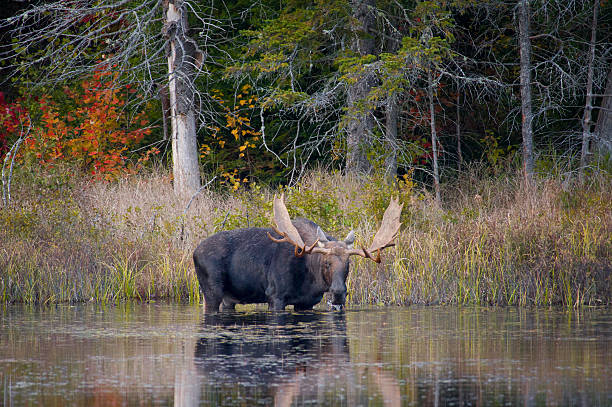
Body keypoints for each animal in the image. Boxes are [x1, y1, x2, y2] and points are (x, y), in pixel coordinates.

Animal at [191, 195, 402, 312]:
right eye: (326, 262)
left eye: (348, 264)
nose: (338, 292)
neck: (311, 281)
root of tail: (194, 252)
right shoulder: (274, 296)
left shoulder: (307, 302)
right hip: (211, 291)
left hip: (229, 298)